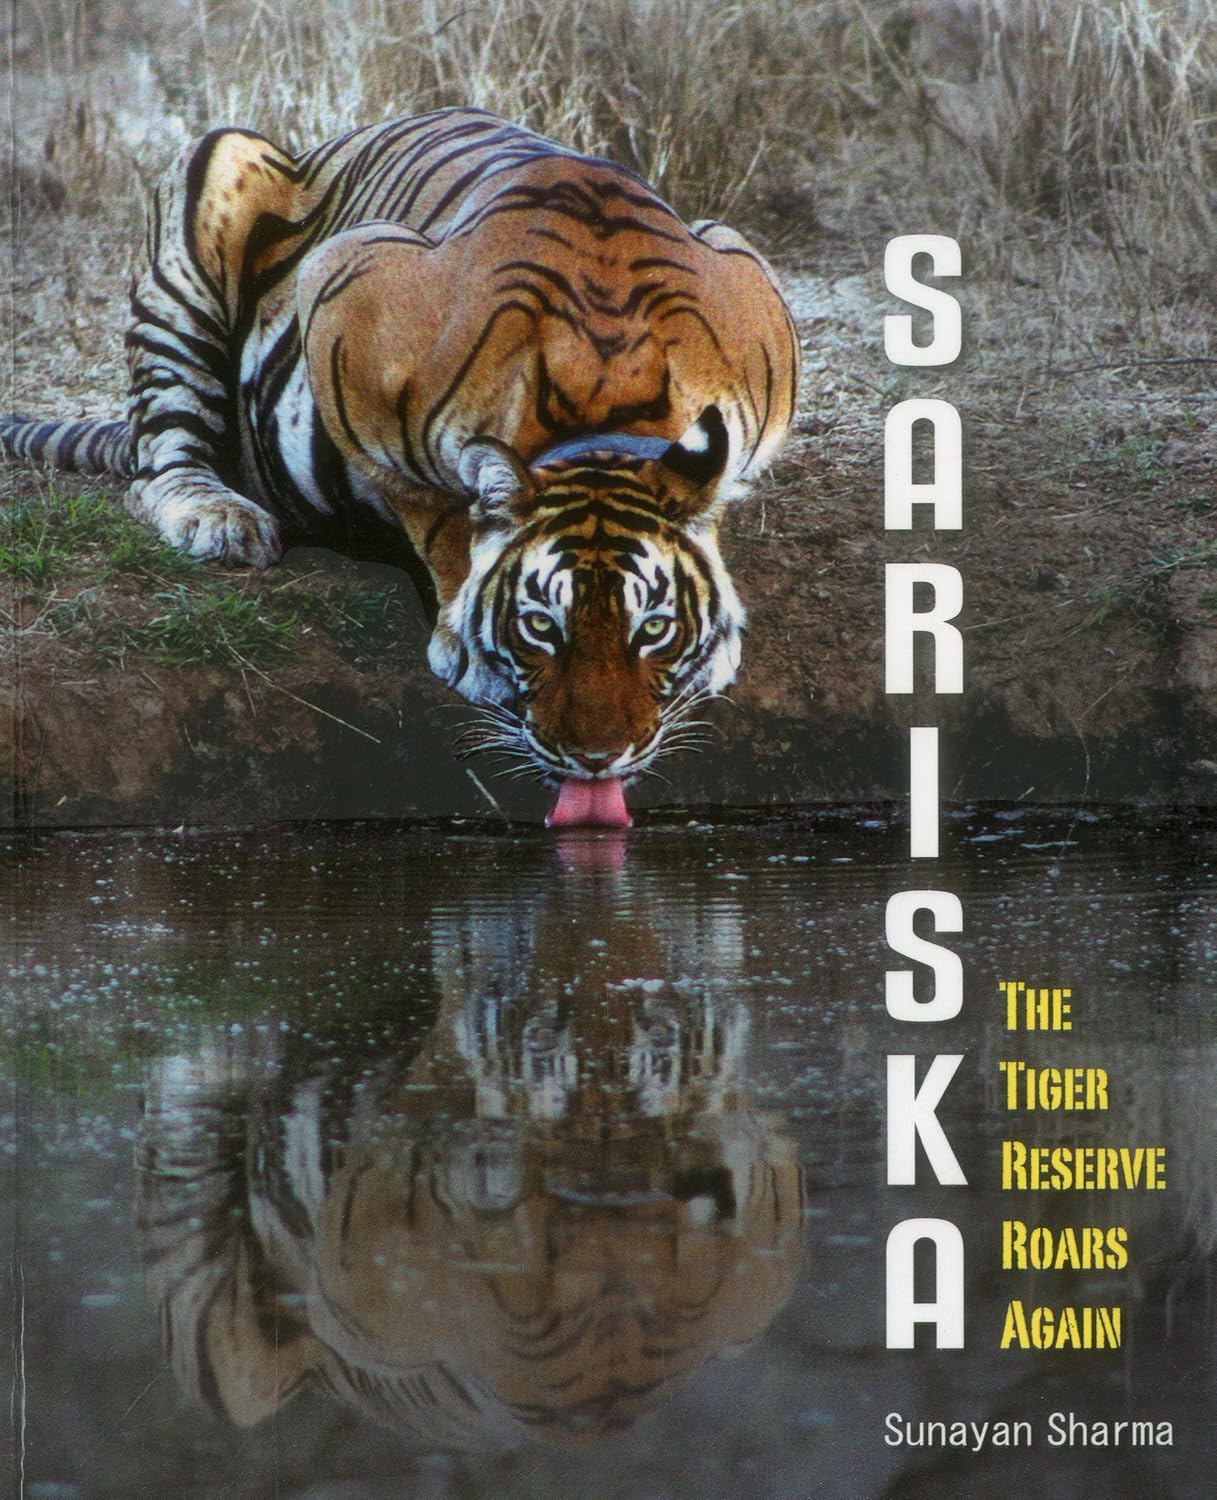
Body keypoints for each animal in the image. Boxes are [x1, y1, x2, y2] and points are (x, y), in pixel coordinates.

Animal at [2, 107, 800, 825]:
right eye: (540, 627)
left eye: (653, 629)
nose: (597, 758)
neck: (604, 408)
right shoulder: (344, 289)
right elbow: (434, 512)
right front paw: (462, 638)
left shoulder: (743, 267)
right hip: (211, 178)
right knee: (161, 458)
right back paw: (218, 516)